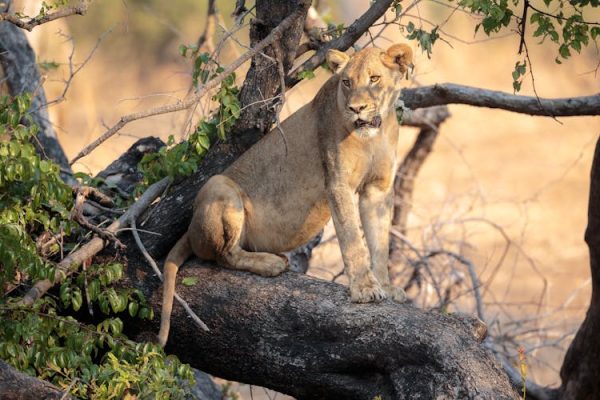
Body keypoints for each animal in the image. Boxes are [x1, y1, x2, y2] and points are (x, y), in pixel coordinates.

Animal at [157, 43, 414, 346]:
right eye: (346, 82)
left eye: (374, 79)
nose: (356, 109)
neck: (375, 134)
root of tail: (189, 230)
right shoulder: (337, 183)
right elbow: (352, 240)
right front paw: (363, 289)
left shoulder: (378, 189)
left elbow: (379, 243)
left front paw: (386, 286)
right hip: (219, 186)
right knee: (223, 255)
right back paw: (271, 264)